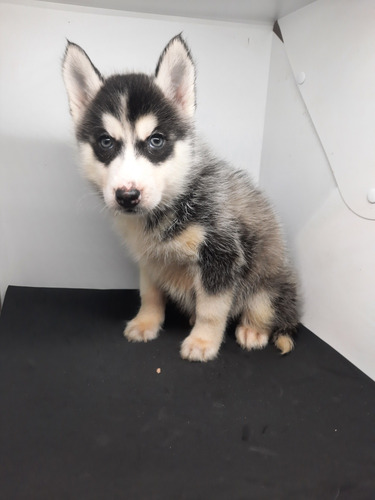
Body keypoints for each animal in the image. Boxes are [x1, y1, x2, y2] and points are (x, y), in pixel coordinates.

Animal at [64, 36, 300, 364]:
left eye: (156, 140)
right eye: (105, 142)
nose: (127, 196)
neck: (171, 202)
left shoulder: (221, 254)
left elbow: (212, 309)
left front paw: (203, 342)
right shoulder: (149, 259)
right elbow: (149, 295)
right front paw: (146, 322)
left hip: (269, 282)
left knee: (264, 307)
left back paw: (253, 330)